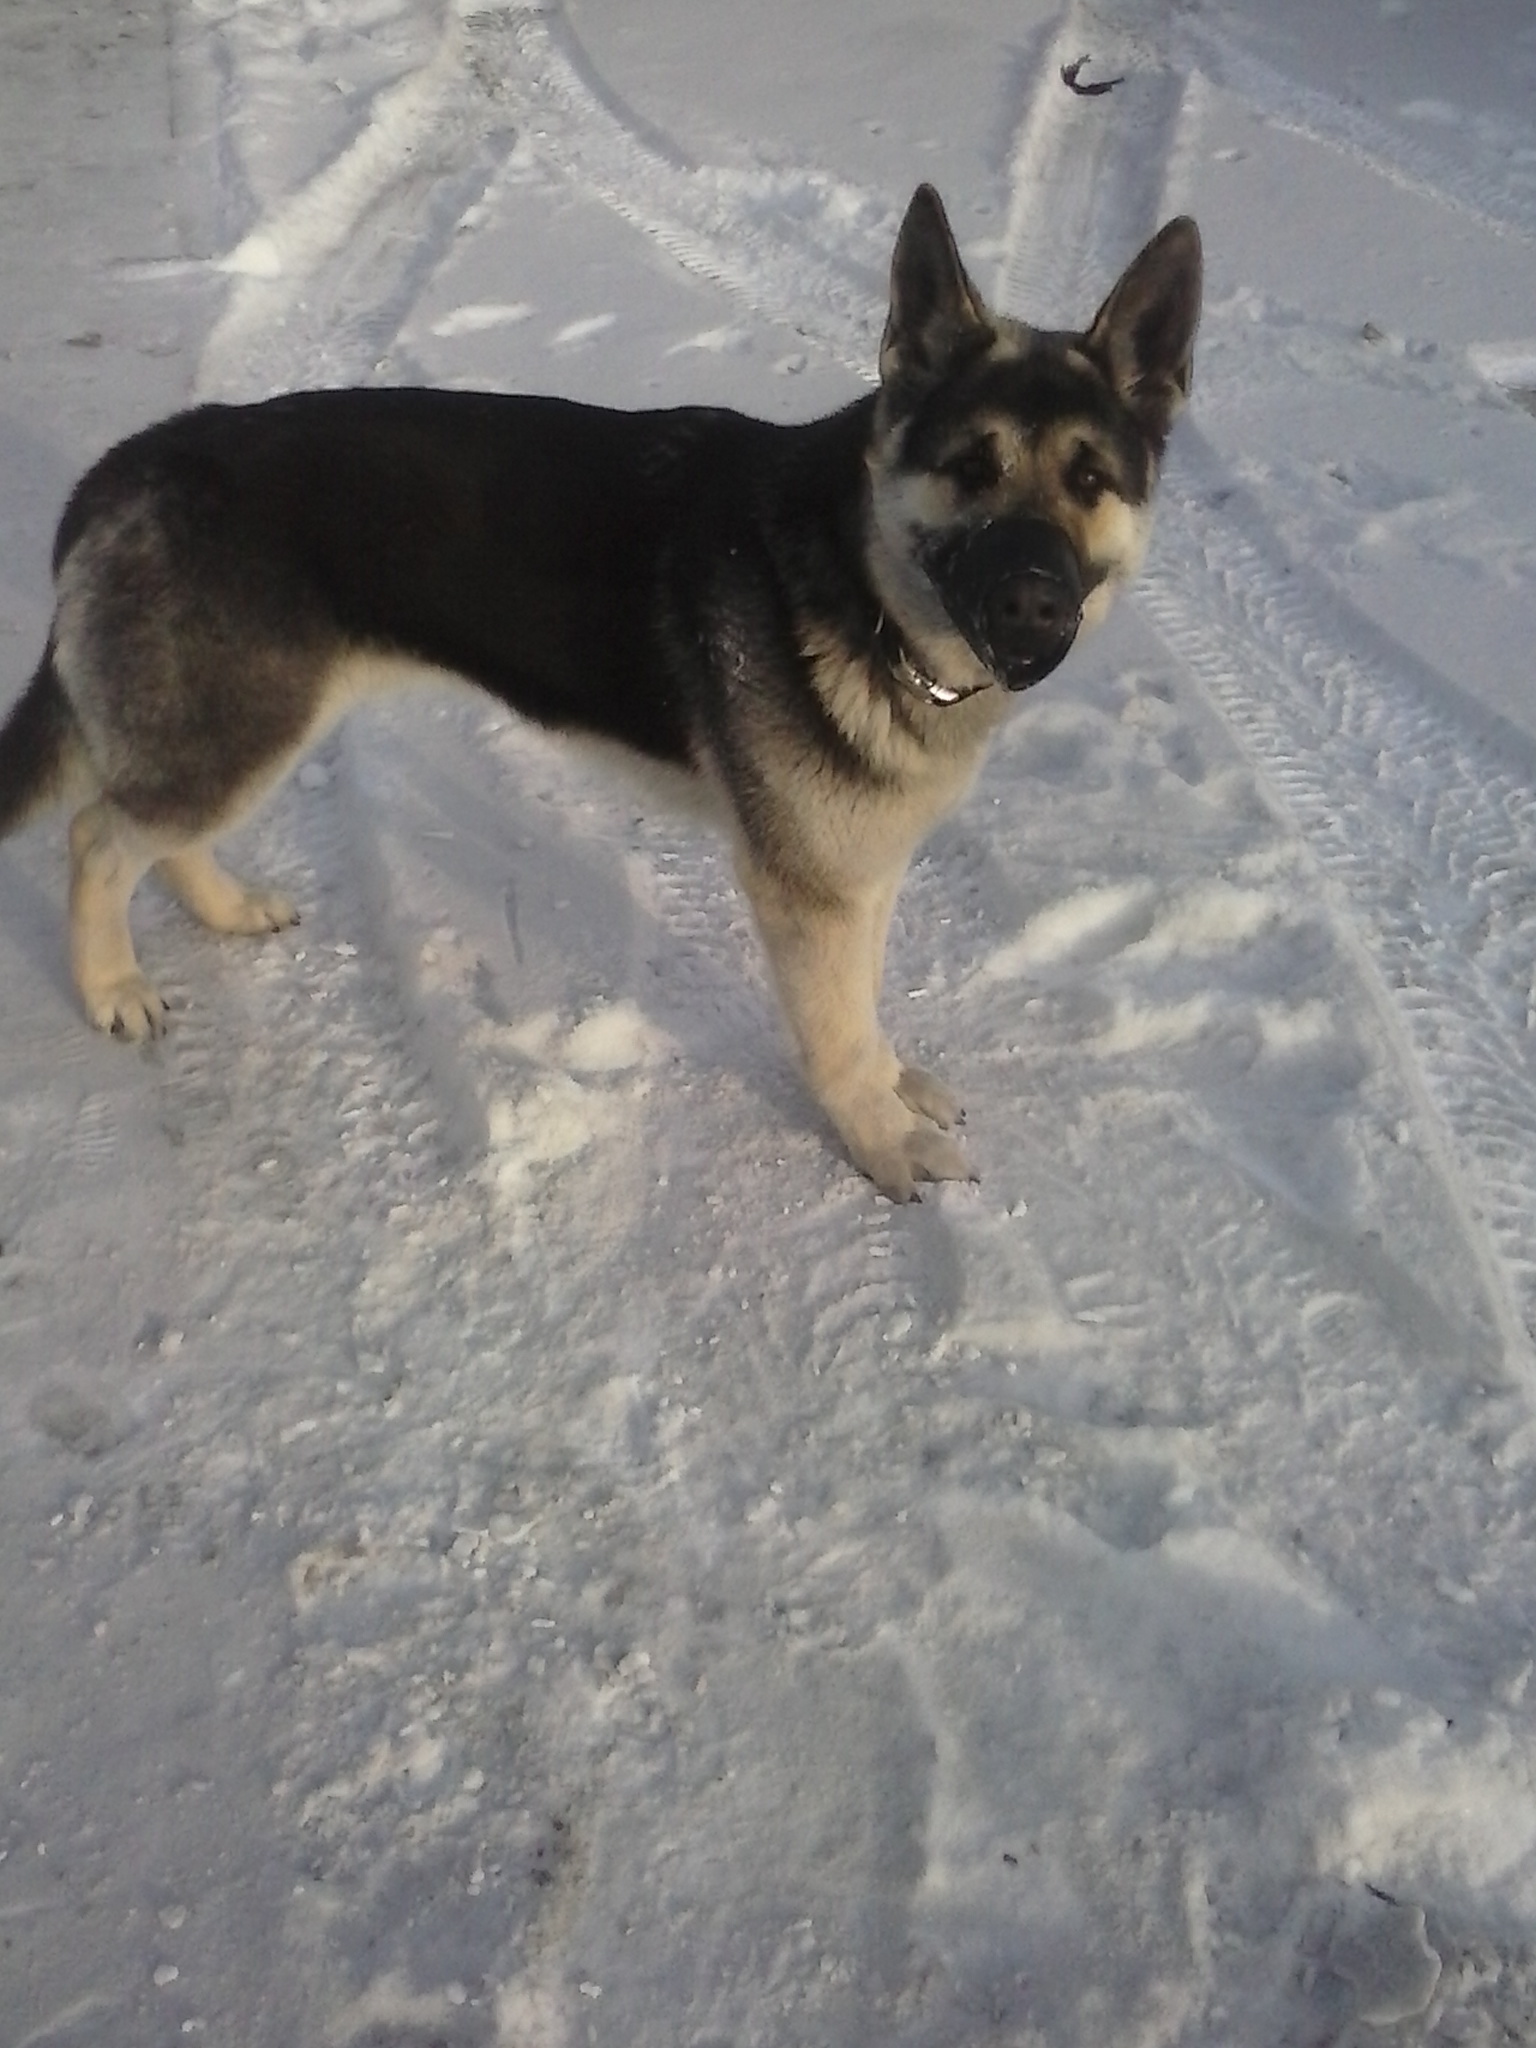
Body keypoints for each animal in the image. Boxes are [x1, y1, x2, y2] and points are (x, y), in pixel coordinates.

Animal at [0, 188, 1204, 1196]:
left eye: (1089, 481)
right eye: (971, 469)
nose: (1033, 607)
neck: (868, 583)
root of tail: (122, 468)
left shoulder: (857, 873)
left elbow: (864, 1011)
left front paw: (892, 1087)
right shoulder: (806, 891)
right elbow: (837, 1034)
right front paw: (880, 1141)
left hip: (243, 730)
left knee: (155, 832)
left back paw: (223, 907)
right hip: (244, 728)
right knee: (100, 837)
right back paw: (111, 987)